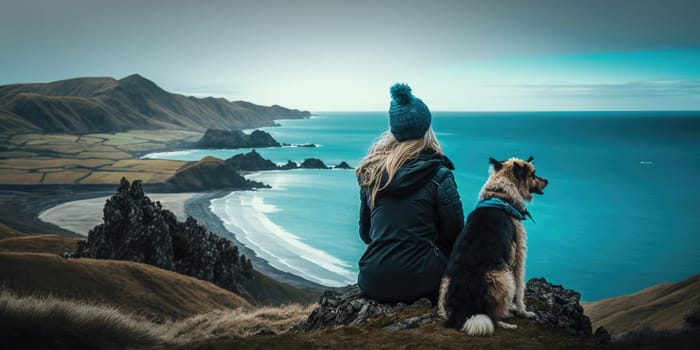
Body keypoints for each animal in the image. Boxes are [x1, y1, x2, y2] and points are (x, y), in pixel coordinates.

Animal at [438, 157, 548, 336]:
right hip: (504, 279)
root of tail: (461, 311)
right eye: (533, 174)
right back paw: (506, 321)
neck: (501, 196)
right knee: (492, 317)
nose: (547, 181)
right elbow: (520, 289)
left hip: (445, 285)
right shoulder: (519, 255)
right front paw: (524, 312)